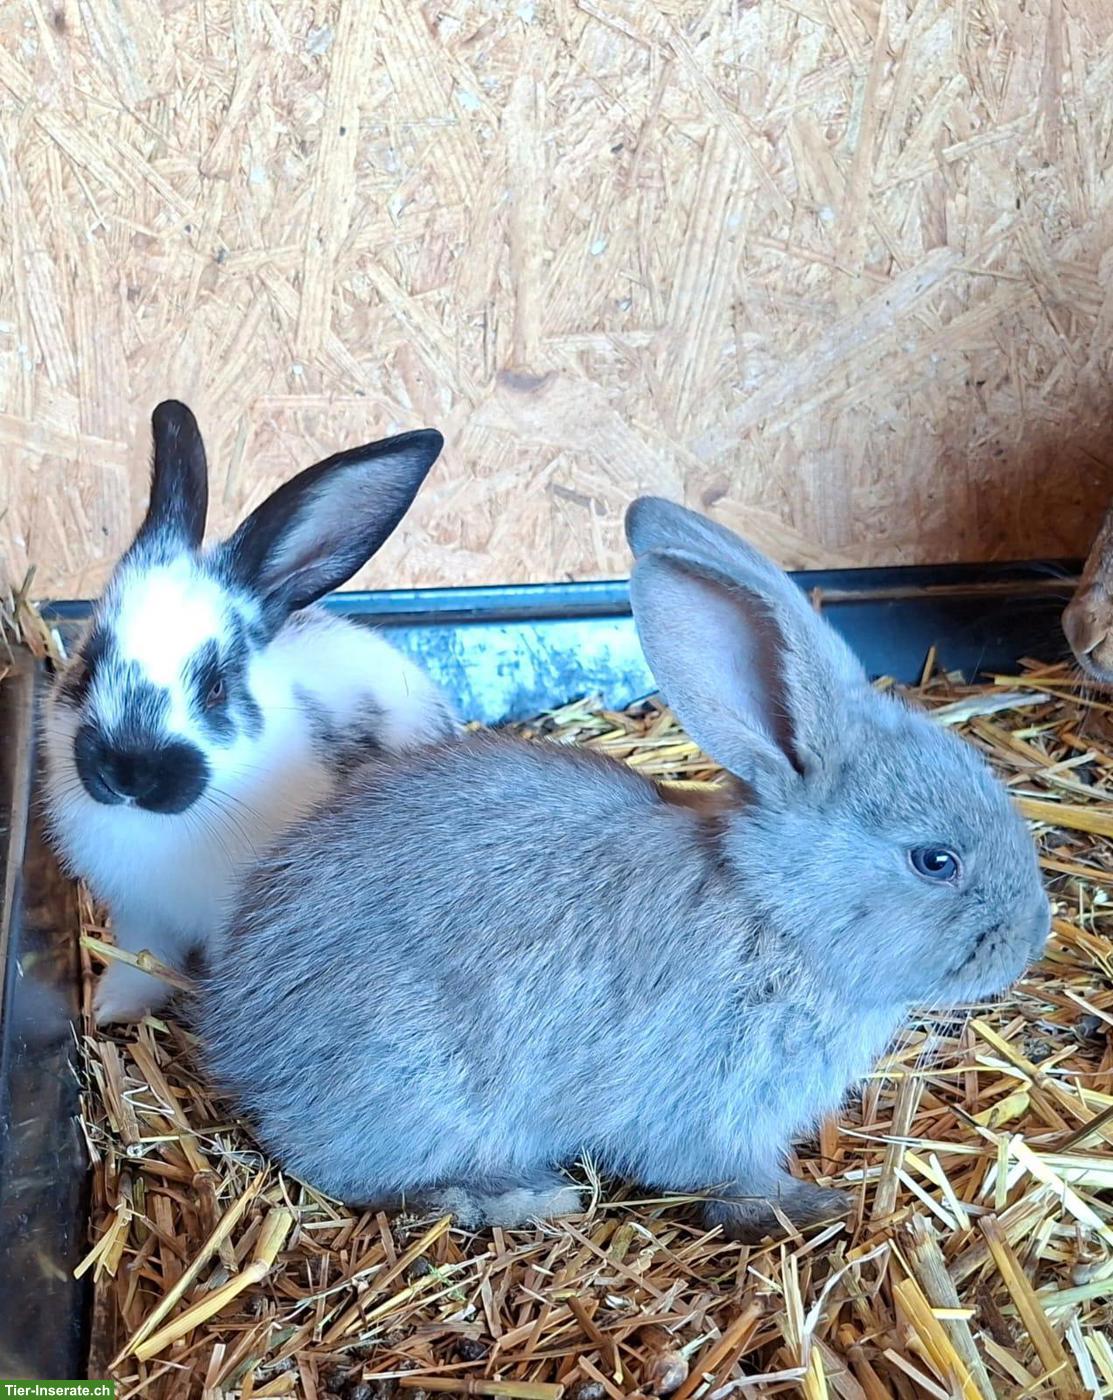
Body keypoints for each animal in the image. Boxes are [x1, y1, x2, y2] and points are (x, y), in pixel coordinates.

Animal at [43, 400, 456, 1026]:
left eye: (215, 687)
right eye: (89, 663)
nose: (128, 773)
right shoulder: (140, 917)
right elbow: (140, 966)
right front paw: (113, 1010)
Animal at [198, 497, 1050, 1241]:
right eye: (935, 861)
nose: (1031, 939)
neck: (776, 913)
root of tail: (242, 1044)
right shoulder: (712, 1100)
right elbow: (728, 1176)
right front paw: (809, 1205)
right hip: (418, 1086)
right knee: (353, 1174)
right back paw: (516, 1198)